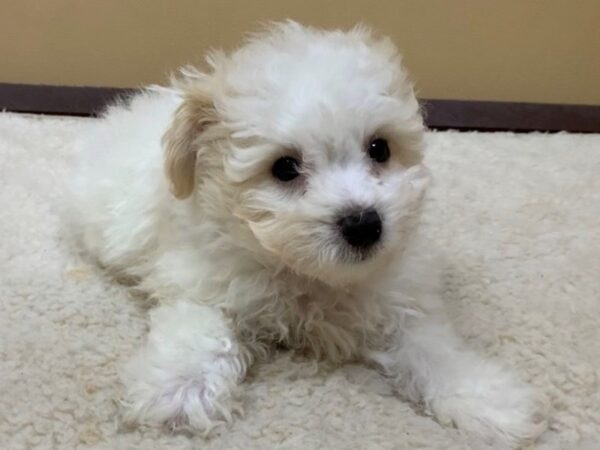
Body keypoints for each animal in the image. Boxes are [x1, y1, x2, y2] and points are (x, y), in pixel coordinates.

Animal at [68, 22, 548, 450]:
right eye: (284, 167)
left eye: (379, 148)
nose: (364, 224)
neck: (310, 276)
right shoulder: (203, 281)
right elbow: (202, 330)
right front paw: (179, 390)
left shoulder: (398, 296)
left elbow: (433, 348)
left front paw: (487, 399)